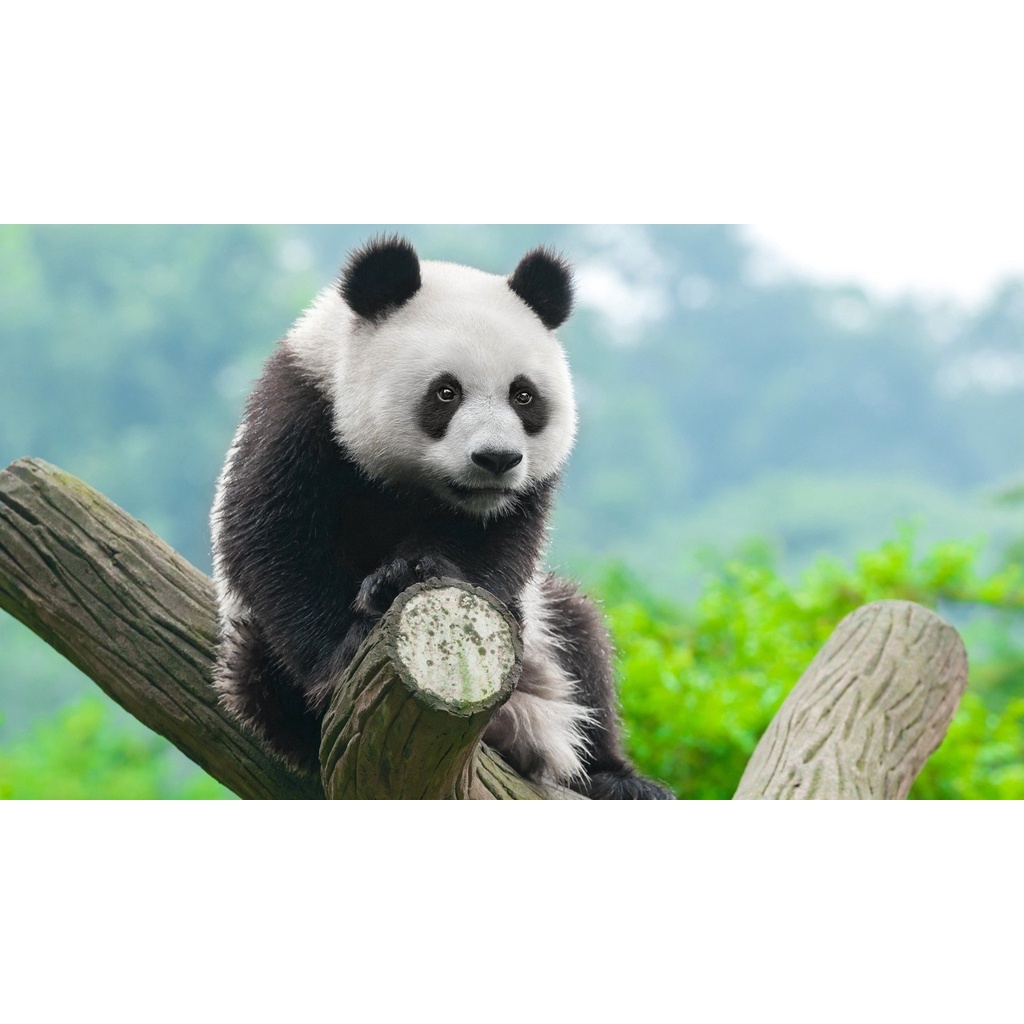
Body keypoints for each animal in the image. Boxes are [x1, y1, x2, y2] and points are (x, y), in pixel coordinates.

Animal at [210, 235, 672, 799]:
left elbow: (496, 546)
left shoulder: (519, 497)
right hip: (250, 650)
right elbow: (274, 540)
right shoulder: (301, 411)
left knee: (582, 640)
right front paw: (348, 646)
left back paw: (618, 777)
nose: (496, 459)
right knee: (257, 675)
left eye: (524, 395)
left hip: (544, 634)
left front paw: (409, 572)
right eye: (446, 392)